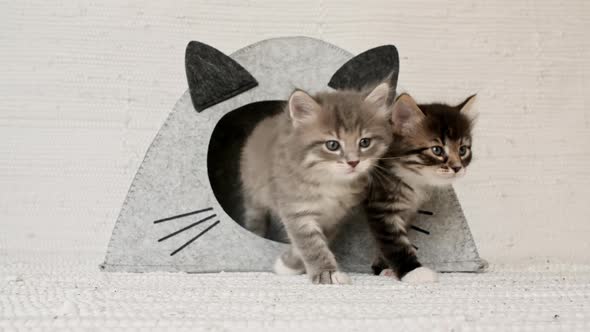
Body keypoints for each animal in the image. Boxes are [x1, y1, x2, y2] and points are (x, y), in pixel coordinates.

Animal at [240, 84, 394, 284]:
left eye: (365, 142)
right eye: (332, 145)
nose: (353, 162)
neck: (331, 181)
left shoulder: (336, 217)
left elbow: (317, 243)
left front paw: (292, 264)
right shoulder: (295, 209)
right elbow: (310, 245)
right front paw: (325, 274)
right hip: (253, 193)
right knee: (255, 217)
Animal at [368, 92, 478, 282]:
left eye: (463, 150)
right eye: (437, 150)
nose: (457, 167)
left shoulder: (406, 211)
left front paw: (386, 269)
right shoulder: (380, 206)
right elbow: (395, 243)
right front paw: (413, 271)